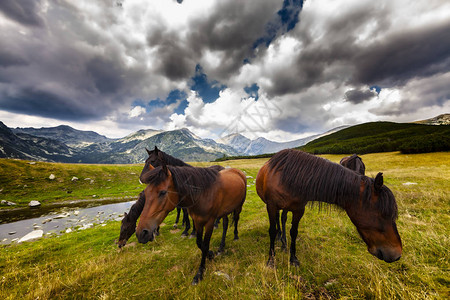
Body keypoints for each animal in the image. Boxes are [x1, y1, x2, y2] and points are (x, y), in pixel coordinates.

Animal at [256, 150, 404, 268]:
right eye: (382, 215)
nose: (397, 254)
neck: (289, 177)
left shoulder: (298, 210)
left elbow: (294, 232)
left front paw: (293, 259)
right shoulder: (271, 206)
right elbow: (272, 231)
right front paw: (271, 260)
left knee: (283, 218)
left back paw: (284, 242)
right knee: (277, 221)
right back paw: (280, 239)